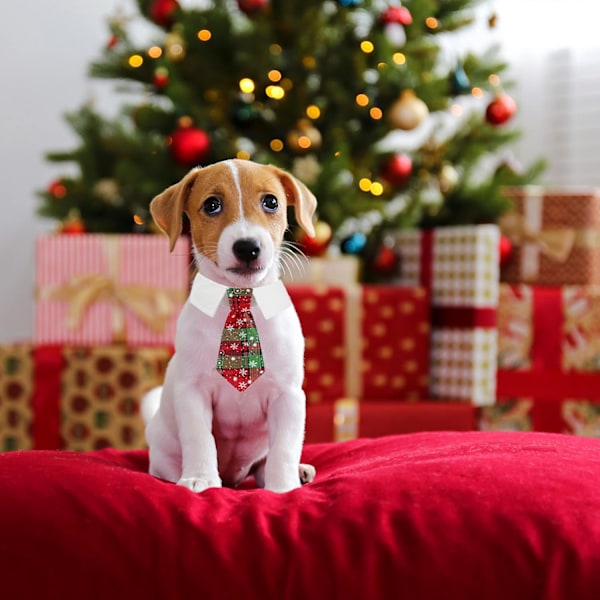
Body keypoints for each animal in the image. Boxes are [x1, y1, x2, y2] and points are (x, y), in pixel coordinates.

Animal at [144, 159, 318, 492]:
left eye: (271, 202)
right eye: (212, 205)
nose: (247, 247)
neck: (240, 298)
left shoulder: (288, 396)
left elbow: (284, 448)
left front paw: (283, 487)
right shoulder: (193, 393)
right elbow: (200, 440)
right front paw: (200, 479)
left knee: (265, 464)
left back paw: (298, 472)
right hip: (162, 452)